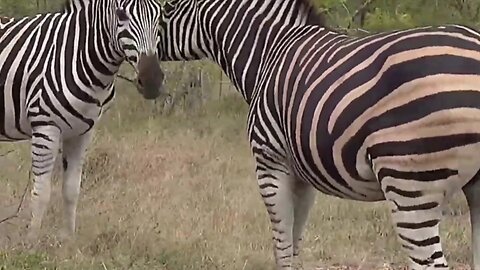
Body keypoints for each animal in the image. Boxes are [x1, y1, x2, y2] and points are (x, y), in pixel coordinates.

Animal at [0, 0, 164, 240]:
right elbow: (41, 192)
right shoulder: (45, 127)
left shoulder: (82, 131)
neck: (80, 55)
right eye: (121, 14)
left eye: (159, 14)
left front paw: (69, 240)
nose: (152, 81)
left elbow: (71, 189)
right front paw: (31, 243)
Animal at [157, 0, 480, 270]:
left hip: (409, 182)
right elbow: (294, 241)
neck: (268, 51)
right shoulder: (302, 173)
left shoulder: (269, 161)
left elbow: (282, 246)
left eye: (168, 7)